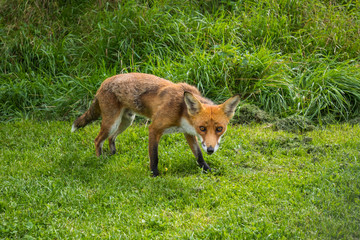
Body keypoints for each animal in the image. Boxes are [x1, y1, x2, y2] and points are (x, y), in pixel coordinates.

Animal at [71, 73, 240, 176]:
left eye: (219, 129)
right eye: (202, 128)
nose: (211, 150)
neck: (182, 111)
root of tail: (104, 81)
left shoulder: (188, 132)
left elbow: (198, 155)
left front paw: (207, 170)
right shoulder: (154, 128)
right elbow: (154, 156)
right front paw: (155, 175)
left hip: (126, 121)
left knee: (111, 138)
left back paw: (113, 154)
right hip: (111, 122)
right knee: (97, 140)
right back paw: (99, 160)